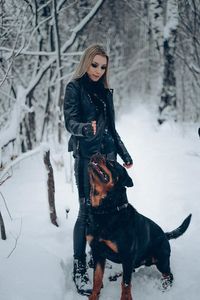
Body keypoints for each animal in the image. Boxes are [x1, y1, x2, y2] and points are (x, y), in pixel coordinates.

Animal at [87, 154, 192, 300]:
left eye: (112, 163)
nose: (96, 153)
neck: (107, 211)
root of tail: (165, 235)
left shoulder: (127, 255)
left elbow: (126, 284)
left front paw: (126, 298)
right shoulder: (97, 252)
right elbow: (97, 279)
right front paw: (93, 296)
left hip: (161, 259)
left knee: (168, 275)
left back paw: (165, 287)